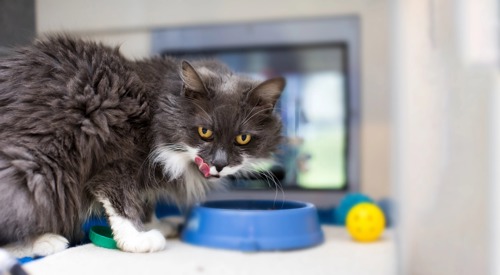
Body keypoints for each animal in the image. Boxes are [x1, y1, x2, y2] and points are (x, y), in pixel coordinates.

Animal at [0, 35, 284, 258]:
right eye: (205, 132)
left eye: (242, 138)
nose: (220, 164)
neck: (154, 106)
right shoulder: (115, 163)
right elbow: (123, 203)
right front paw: (138, 238)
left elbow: (145, 201)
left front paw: (154, 224)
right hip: (36, 168)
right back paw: (44, 241)